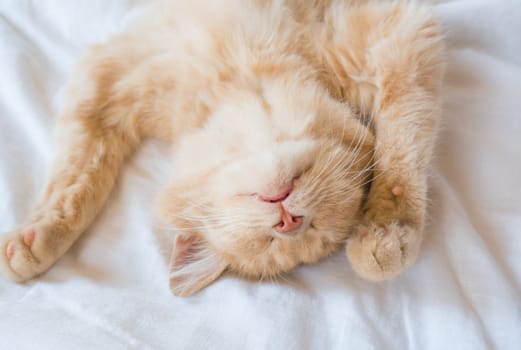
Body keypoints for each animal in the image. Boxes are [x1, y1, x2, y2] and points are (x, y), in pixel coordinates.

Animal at [0, 0, 442, 296]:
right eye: (270, 239)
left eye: (310, 225)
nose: (286, 217)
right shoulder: (111, 76)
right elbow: (78, 177)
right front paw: (42, 233)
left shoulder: (397, 36)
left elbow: (402, 147)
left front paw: (386, 229)